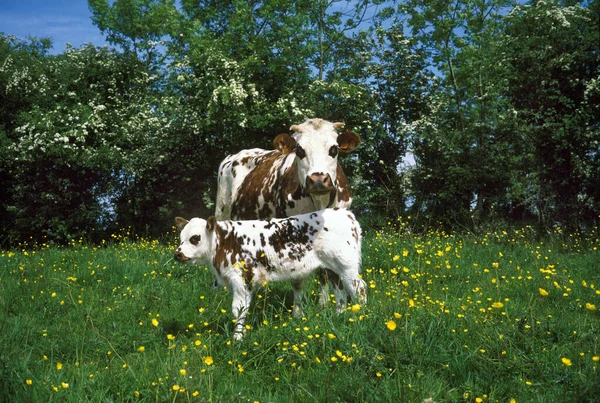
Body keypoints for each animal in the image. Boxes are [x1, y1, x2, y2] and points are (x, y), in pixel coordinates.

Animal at [173, 208, 366, 340]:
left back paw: (361, 318)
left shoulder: (242, 280)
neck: (224, 243)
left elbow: (238, 309)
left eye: (195, 238)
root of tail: (344, 213)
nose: (177, 254)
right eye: (181, 238)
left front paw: (237, 339)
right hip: (331, 268)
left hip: (347, 266)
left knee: (359, 288)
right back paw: (340, 315)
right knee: (340, 291)